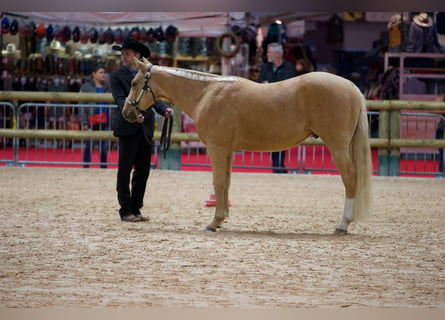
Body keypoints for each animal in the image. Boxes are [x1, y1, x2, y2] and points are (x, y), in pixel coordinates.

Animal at [122, 56, 372, 234]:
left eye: (134, 83)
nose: (126, 113)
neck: (207, 93)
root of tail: (351, 86)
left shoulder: (216, 148)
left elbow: (218, 182)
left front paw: (213, 222)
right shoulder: (228, 151)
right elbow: (226, 183)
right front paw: (221, 219)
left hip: (337, 146)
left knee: (350, 177)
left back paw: (342, 224)